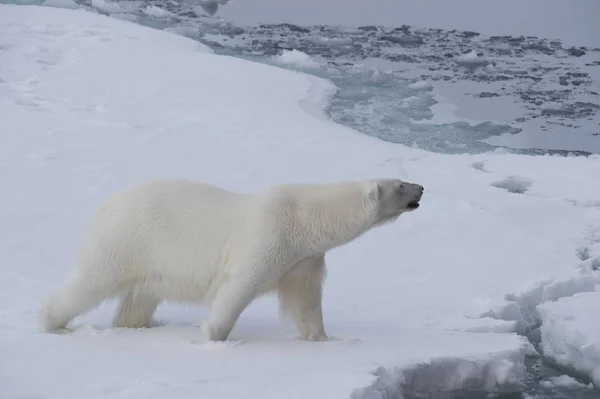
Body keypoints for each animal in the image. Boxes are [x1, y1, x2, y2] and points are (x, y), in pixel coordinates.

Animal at [39, 180, 424, 342]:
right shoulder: (270, 236)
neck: (305, 219)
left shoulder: (303, 259)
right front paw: (214, 335)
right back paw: (52, 323)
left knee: (139, 298)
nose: (422, 188)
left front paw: (323, 339)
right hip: (127, 240)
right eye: (400, 184)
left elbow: (305, 302)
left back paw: (138, 326)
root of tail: (106, 205)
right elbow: (239, 285)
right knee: (91, 282)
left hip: (150, 263)